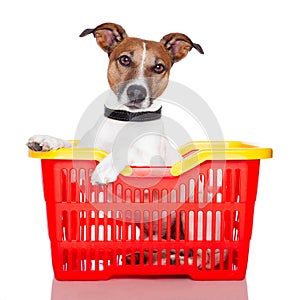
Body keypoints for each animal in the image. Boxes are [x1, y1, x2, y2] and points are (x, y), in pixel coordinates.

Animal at [27, 21, 213, 268]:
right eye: (124, 59)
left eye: (159, 67)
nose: (137, 92)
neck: (125, 118)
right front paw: (47, 140)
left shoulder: (151, 166)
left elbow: (127, 151)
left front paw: (104, 167)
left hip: (195, 216)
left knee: (203, 255)